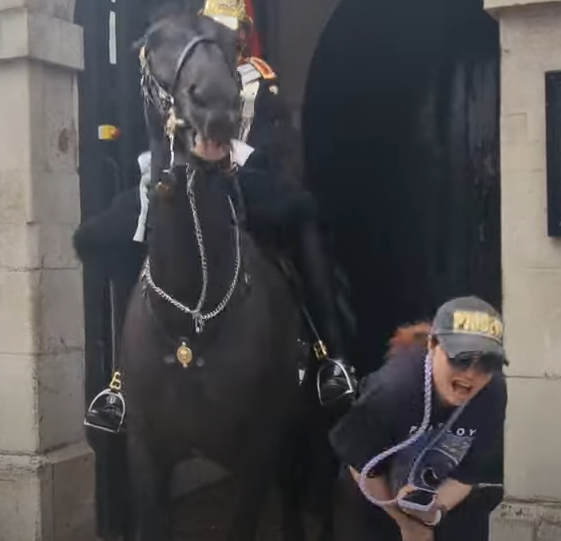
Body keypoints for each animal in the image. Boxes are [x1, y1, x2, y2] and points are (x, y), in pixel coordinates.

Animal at [118, 5, 330, 540]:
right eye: (152, 41)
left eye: (231, 45)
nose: (215, 104)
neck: (191, 320)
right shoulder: (147, 454)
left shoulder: (254, 455)